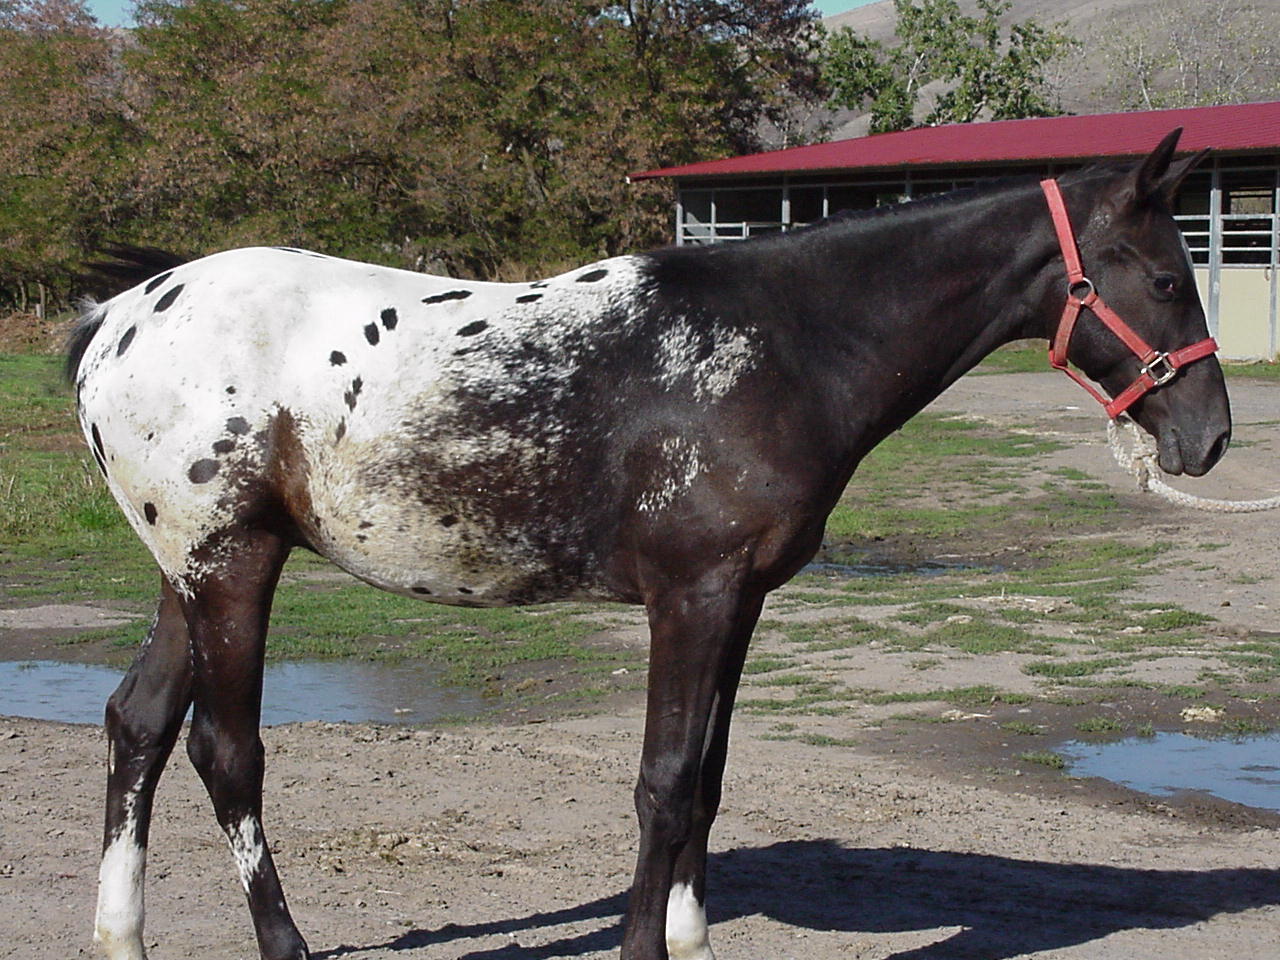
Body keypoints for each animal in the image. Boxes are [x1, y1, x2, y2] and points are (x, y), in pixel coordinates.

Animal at [68, 129, 1229, 960]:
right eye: (1167, 278)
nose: (1208, 436)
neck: (785, 345)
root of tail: (120, 315)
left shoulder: (740, 600)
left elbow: (705, 781)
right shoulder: (693, 595)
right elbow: (665, 783)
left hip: (188, 575)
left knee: (138, 724)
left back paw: (121, 935)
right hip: (231, 568)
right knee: (227, 755)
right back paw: (285, 943)